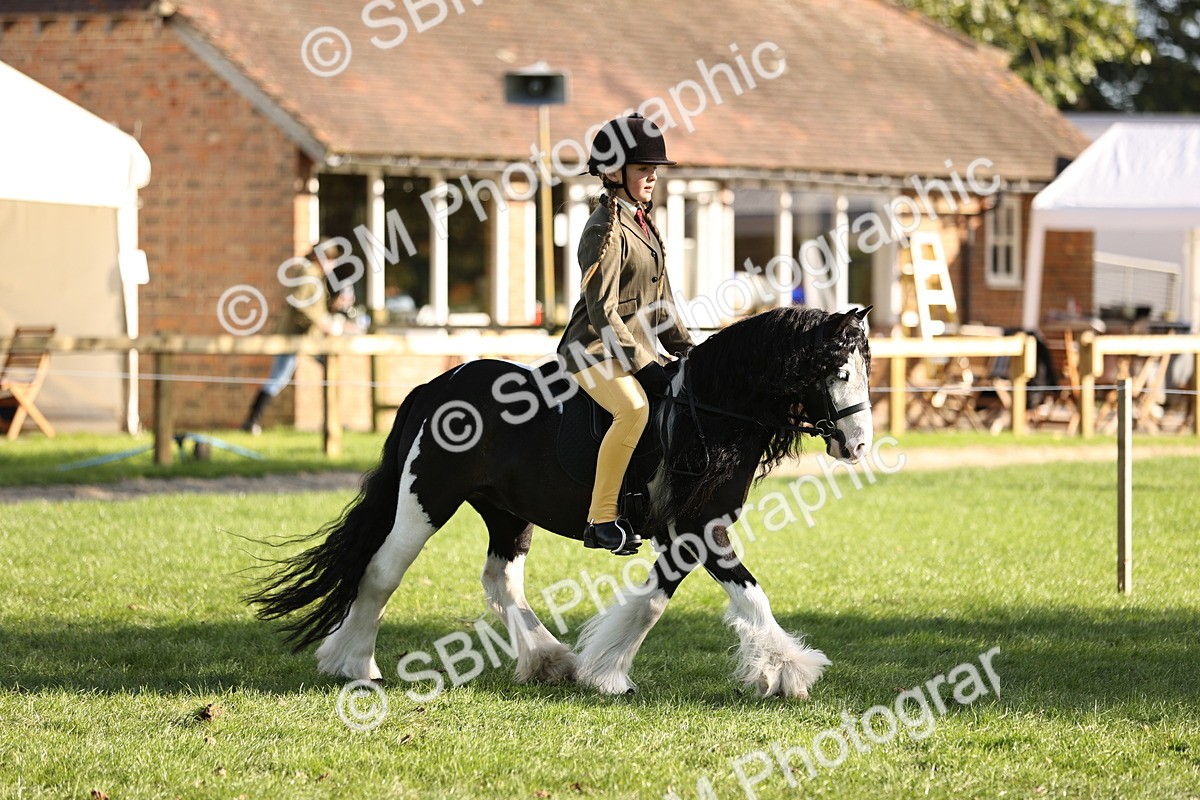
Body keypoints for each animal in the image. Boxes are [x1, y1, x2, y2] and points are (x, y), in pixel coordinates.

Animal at [247, 304, 873, 698]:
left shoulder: (690, 531)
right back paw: (356, 665)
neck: (711, 409)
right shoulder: (698, 528)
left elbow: (654, 600)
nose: (858, 444)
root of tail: (436, 386)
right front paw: (788, 672)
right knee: (381, 573)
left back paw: (548, 660)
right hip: (428, 499)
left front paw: (605, 670)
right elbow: (745, 593)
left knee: (501, 581)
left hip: (505, 512)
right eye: (840, 370)